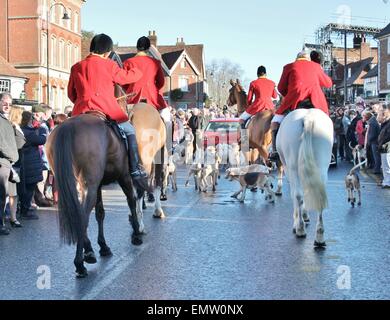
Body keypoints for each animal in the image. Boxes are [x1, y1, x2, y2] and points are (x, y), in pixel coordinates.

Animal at [276, 109, 334, 246]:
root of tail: (308, 118)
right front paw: (305, 215)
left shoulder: (288, 168)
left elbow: (295, 195)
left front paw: (298, 219)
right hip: (322, 166)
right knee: (319, 195)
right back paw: (319, 237)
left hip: (292, 167)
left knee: (298, 195)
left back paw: (300, 229)